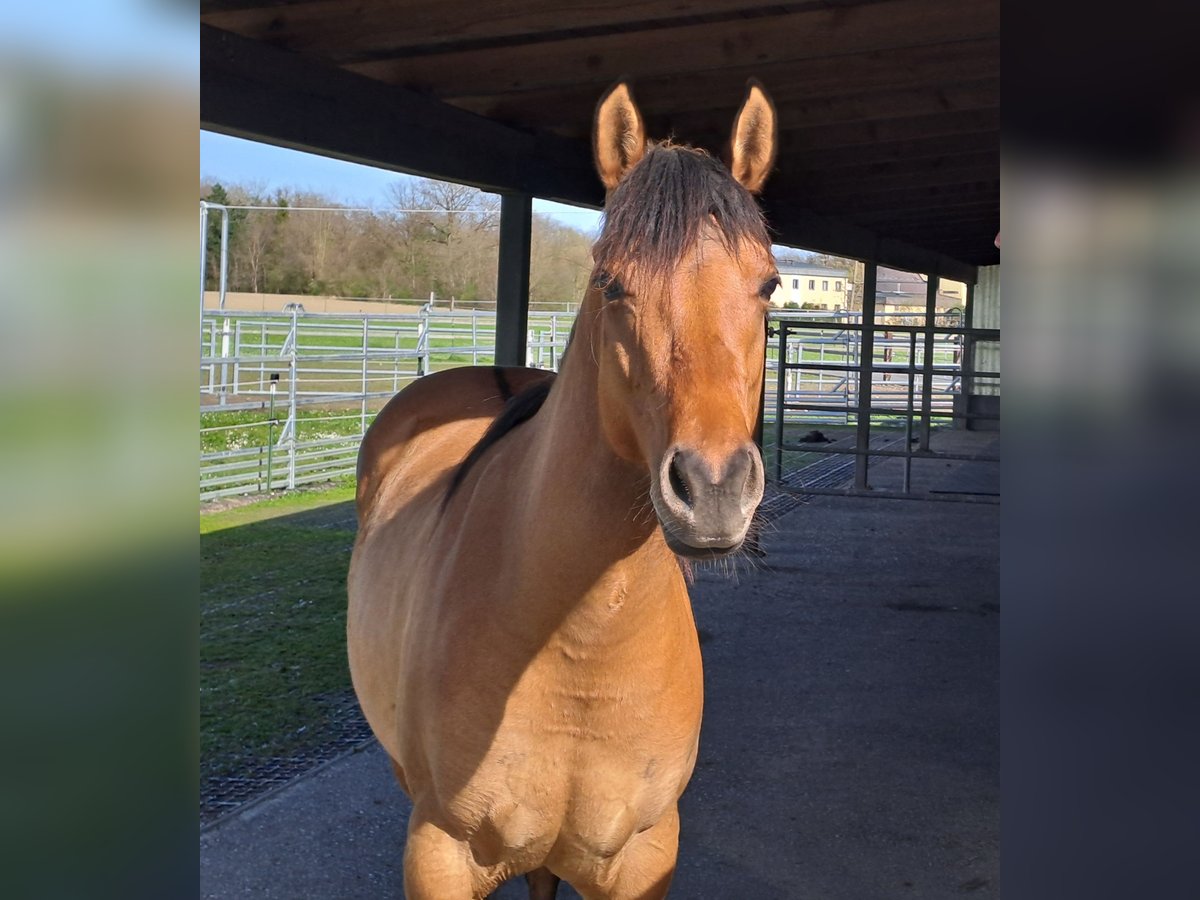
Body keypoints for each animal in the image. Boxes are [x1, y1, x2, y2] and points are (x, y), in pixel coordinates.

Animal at [348, 81, 777, 897]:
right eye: (610, 282)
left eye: (769, 284)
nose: (713, 488)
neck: (581, 646)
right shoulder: (438, 852)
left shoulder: (646, 854)